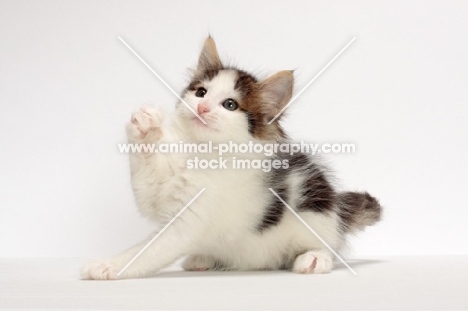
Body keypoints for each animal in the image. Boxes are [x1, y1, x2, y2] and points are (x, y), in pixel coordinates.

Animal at [80, 37, 380, 280]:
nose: (202, 107)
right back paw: (203, 258)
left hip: (315, 207)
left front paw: (108, 265)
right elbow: (146, 183)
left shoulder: (190, 220)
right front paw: (146, 126)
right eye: (201, 92)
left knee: (329, 244)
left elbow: (148, 250)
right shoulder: (155, 196)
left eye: (230, 105)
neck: (200, 153)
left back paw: (315, 258)